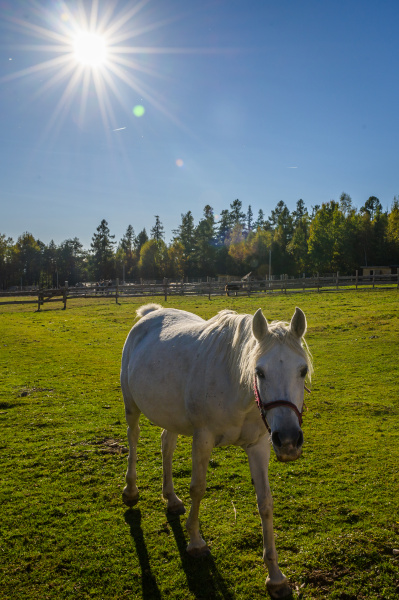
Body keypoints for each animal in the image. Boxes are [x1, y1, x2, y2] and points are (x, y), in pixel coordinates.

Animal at [120, 304, 314, 600]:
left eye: (302, 370)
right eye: (260, 372)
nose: (289, 440)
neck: (237, 388)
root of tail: (151, 313)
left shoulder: (259, 446)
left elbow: (265, 503)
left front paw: (275, 576)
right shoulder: (203, 438)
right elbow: (198, 488)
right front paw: (195, 542)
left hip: (170, 416)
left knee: (167, 444)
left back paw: (171, 498)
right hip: (131, 407)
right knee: (133, 438)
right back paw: (131, 491)